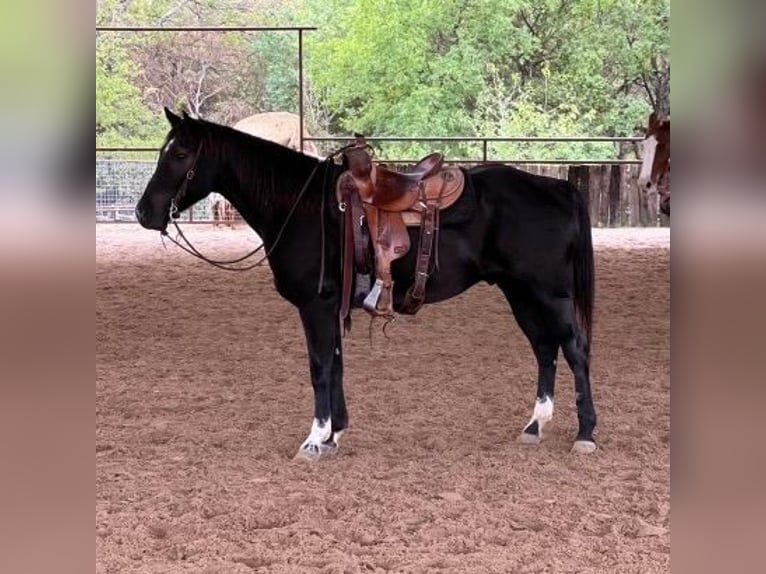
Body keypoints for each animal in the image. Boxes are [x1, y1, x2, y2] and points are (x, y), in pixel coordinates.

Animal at [135, 107, 596, 460]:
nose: (143, 212)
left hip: (549, 294)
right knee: (544, 348)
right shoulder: (331, 307)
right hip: (520, 293)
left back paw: (586, 434)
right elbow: (336, 364)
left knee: (574, 349)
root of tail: (557, 186)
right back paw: (535, 426)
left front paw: (314, 440)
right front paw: (335, 434)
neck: (302, 206)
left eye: (179, 153)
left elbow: (320, 367)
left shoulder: (316, 306)